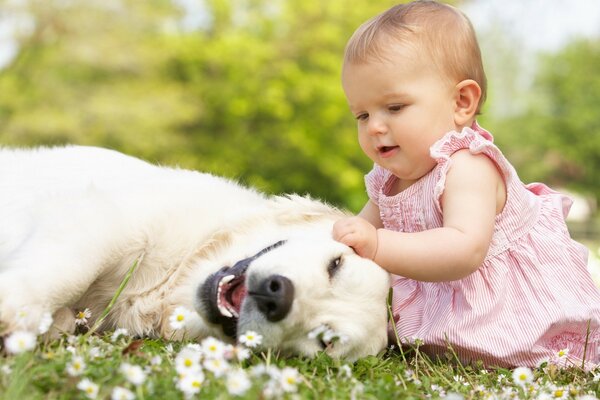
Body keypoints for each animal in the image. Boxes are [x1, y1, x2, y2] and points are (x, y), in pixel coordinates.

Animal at [0, 146, 390, 360]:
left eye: (325, 341)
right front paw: (13, 311)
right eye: (336, 264)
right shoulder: (109, 218)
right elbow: (68, 271)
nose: (276, 296)